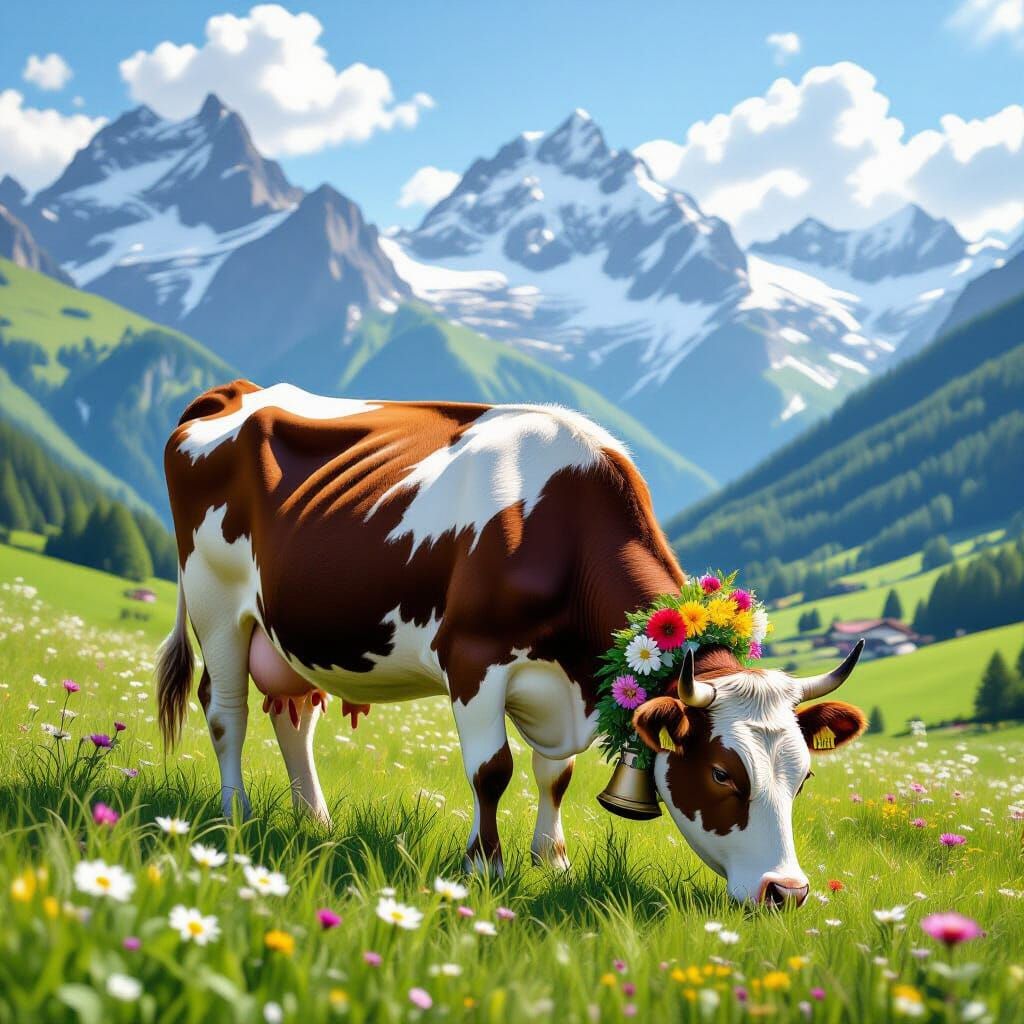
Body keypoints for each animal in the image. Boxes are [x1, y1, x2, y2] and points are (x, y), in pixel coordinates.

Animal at [157, 380, 866, 906]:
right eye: (722, 771)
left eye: (803, 776)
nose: (787, 892)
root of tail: (235, 391)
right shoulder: (474, 659)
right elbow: (491, 769)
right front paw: (485, 867)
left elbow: (557, 775)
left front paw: (552, 861)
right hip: (217, 604)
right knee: (226, 713)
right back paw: (236, 816)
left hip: (288, 633)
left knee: (294, 717)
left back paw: (316, 822)